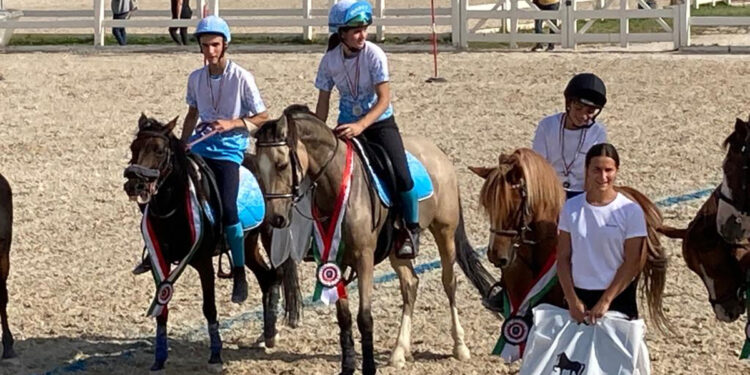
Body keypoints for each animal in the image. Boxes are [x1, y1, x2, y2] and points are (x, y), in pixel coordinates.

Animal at [122, 115, 300, 374]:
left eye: (159, 150)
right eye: (133, 148)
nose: (134, 185)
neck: (173, 210)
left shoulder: (204, 263)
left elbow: (209, 308)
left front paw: (216, 355)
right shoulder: (160, 262)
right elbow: (162, 307)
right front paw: (159, 358)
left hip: (270, 234)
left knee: (275, 274)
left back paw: (269, 330)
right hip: (248, 244)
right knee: (267, 277)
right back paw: (267, 333)